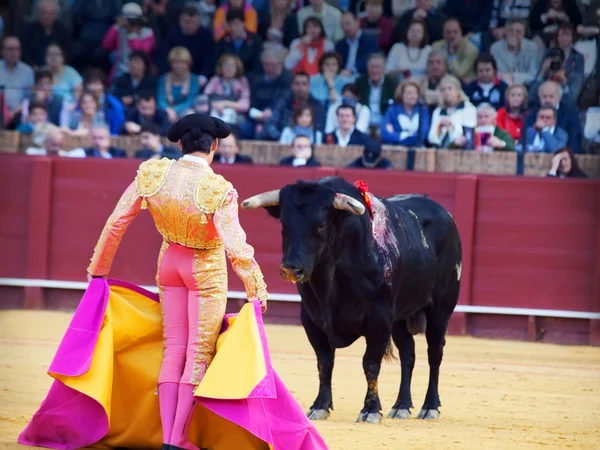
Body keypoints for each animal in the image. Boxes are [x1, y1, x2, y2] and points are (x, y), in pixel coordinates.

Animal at [241, 178, 462, 424]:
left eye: (320, 226)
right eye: (284, 227)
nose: (291, 269)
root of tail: (444, 213)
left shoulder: (379, 319)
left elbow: (370, 363)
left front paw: (370, 410)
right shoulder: (312, 320)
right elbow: (324, 361)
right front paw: (320, 406)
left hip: (441, 308)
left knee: (435, 352)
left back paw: (429, 406)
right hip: (399, 318)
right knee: (408, 352)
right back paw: (401, 406)